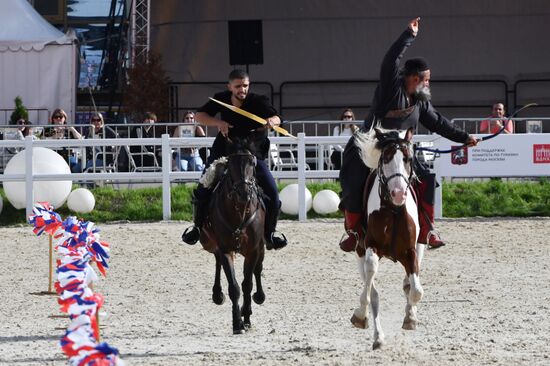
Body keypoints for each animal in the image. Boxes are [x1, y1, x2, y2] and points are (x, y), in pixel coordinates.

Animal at [199, 137, 266, 334]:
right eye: (231, 164)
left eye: (252, 162)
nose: (244, 193)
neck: (240, 210)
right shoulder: (226, 249)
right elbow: (234, 286)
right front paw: (237, 323)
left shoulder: (253, 250)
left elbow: (247, 284)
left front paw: (247, 317)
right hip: (209, 242)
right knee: (217, 261)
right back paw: (217, 294)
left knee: (257, 269)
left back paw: (259, 296)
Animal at [354, 128, 426, 348]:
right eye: (386, 158)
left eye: (408, 158)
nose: (398, 193)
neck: (393, 210)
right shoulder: (370, 247)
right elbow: (370, 290)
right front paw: (360, 315)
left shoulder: (410, 252)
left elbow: (416, 291)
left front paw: (410, 318)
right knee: (373, 291)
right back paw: (378, 337)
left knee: (409, 285)